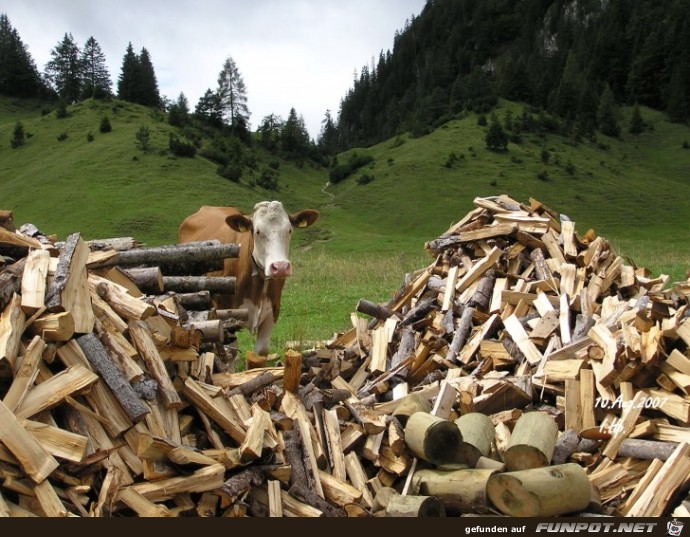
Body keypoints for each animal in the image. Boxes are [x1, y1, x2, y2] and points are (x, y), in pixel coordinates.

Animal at [176, 201, 318, 356]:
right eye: (257, 231)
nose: (280, 267)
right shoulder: (224, 315)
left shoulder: (273, 310)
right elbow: (230, 352)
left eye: (289, 230)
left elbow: (261, 351)